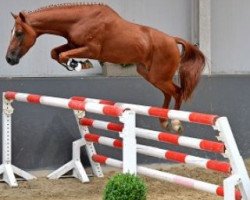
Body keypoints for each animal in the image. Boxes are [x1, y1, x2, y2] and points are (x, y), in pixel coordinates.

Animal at [5, 3, 205, 133]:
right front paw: (78, 64)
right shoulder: (71, 44)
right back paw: (163, 121)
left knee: (177, 92)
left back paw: (176, 122)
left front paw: (79, 65)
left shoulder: (91, 49)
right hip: (149, 74)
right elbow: (55, 53)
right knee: (168, 93)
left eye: (19, 33)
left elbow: (61, 55)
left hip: (158, 76)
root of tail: (172, 39)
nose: (9, 59)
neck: (79, 20)